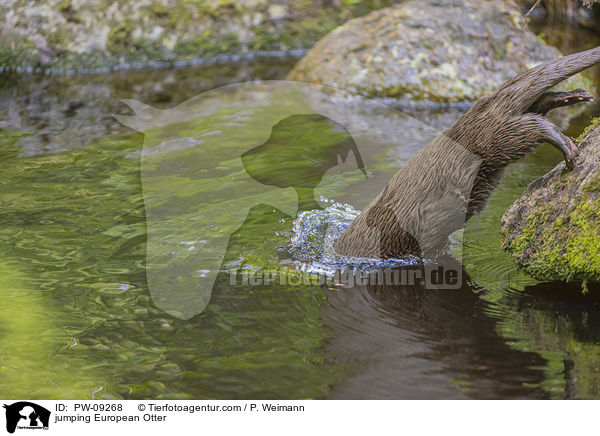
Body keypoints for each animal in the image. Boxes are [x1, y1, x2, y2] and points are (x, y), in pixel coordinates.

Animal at [332, 45, 600, 258]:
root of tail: (479, 109)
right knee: (535, 107)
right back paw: (571, 97)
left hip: (494, 140)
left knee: (530, 127)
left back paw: (566, 147)